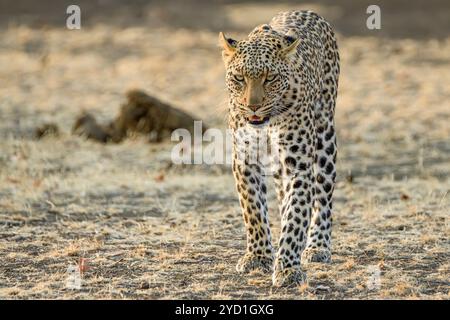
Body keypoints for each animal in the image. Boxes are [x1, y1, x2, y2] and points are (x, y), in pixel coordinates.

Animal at [219, 10, 342, 286]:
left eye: (270, 78)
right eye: (239, 78)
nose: (252, 107)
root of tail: (305, 11)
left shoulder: (299, 164)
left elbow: (297, 214)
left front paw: (287, 268)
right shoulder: (245, 159)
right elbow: (253, 209)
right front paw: (258, 257)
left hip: (325, 137)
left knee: (323, 197)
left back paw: (318, 246)